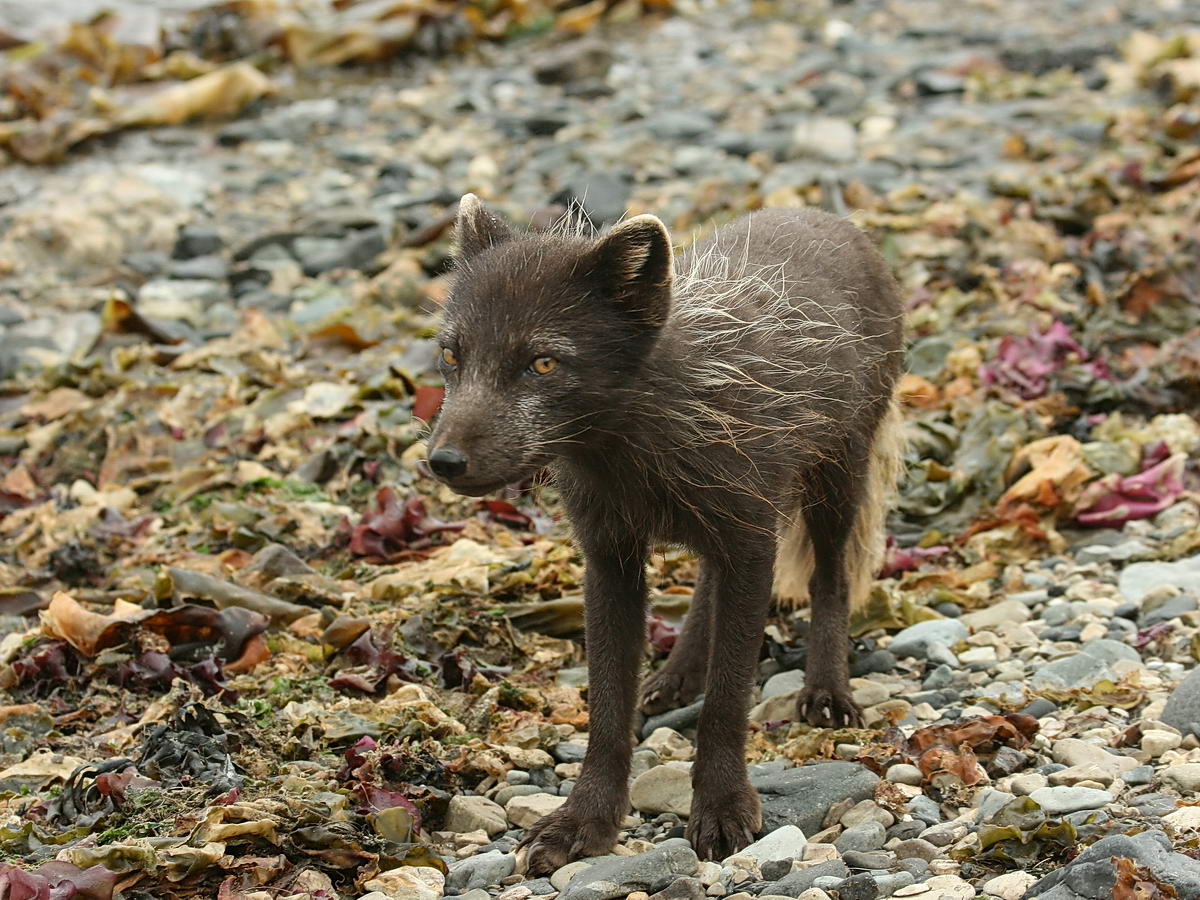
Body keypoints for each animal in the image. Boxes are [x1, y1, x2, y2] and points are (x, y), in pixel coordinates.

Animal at [427, 195, 902, 873]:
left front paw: (722, 808)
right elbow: (606, 707)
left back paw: (826, 689)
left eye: (542, 363)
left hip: (837, 477)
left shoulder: (750, 541)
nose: (443, 462)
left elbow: (728, 701)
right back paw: (679, 673)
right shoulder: (610, 558)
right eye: (451, 356)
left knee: (830, 576)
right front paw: (585, 820)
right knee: (706, 578)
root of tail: (826, 216)